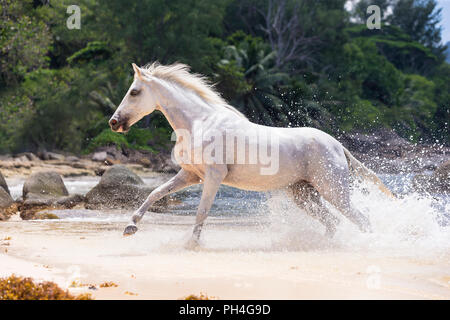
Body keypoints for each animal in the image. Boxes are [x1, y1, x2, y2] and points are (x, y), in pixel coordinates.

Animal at [110, 63, 394, 248]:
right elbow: (155, 193)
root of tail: (337, 145)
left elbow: (202, 211)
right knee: (333, 222)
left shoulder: (213, 176)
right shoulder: (191, 175)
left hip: (333, 191)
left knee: (361, 219)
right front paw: (130, 227)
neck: (199, 122)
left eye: (134, 91)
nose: (114, 123)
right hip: (303, 194)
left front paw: (191, 245)